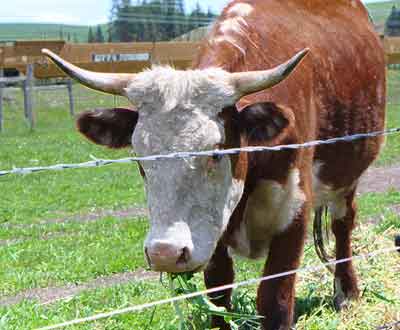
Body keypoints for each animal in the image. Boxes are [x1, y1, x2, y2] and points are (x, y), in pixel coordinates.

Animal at [42, 1, 386, 328]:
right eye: (140, 160)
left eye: (216, 153)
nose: (165, 253)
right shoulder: (211, 232)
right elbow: (219, 292)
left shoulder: (294, 213)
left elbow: (274, 298)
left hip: (348, 178)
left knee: (343, 224)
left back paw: (347, 292)